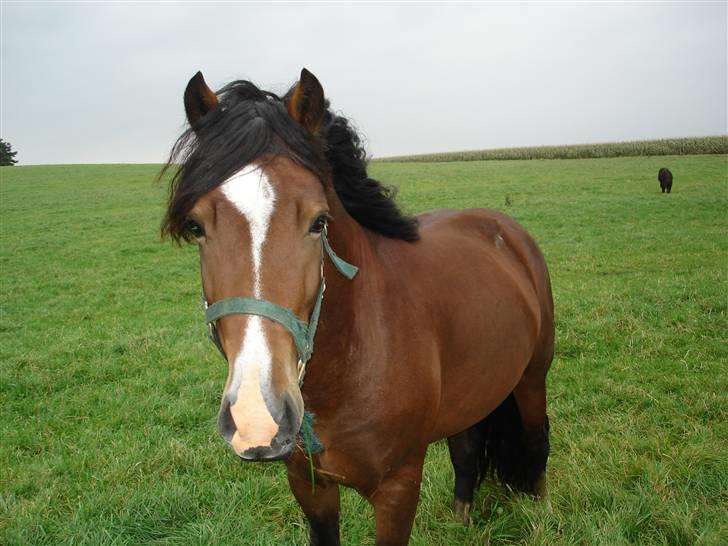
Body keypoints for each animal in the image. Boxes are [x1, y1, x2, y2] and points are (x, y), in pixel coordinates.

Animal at [162, 68, 556, 544]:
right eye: (196, 226)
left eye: (319, 222)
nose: (257, 416)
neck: (351, 361)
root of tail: (505, 227)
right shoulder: (309, 486)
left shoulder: (398, 490)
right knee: (465, 448)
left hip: (533, 377)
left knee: (536, 441)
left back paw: (542, 513)